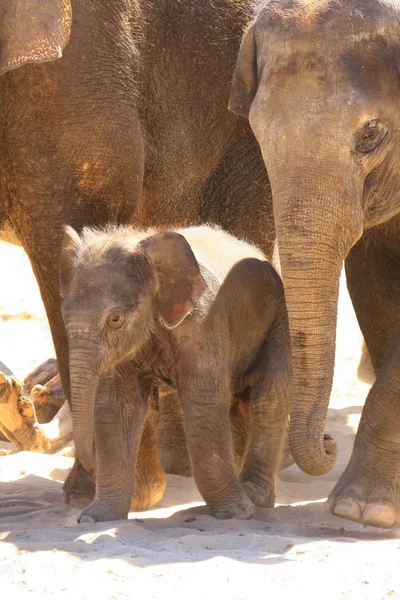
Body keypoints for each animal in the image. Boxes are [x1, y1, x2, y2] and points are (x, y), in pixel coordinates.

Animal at [60, 223, 290, 524]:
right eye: (64, 315)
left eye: (115, 319)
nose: (89, 463)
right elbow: (117, 407)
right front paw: (96, 519)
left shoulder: (203, 324)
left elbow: (203, 405)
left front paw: (236, 514)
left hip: (277, 320)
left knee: (269, 398)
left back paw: (255, 497)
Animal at [230, 0, 400, 524]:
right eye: (257, 134)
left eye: (370, 133)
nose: (327, 441)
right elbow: (377, 295)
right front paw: (368, 507)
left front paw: (363, 512)